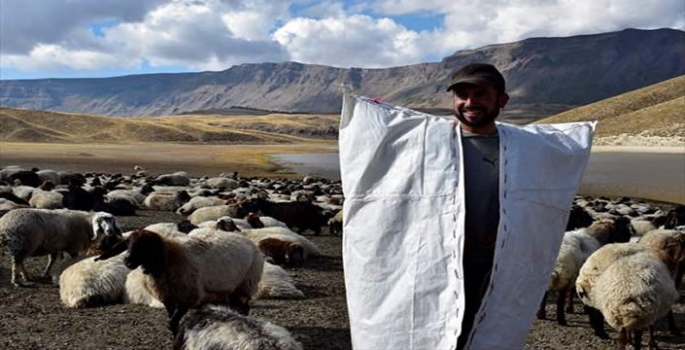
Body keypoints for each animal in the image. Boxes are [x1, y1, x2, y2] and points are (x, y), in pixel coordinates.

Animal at [96, 228, 264, 334]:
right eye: (128, 243)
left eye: (146, 245)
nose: (127, 261)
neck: (168, 259)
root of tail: (249, 242)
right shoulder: (168, 297)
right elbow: (172, 321)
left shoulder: (188, 297)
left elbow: (173, 321)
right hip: (230, 289)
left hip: (245, 284)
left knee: (244, 308)